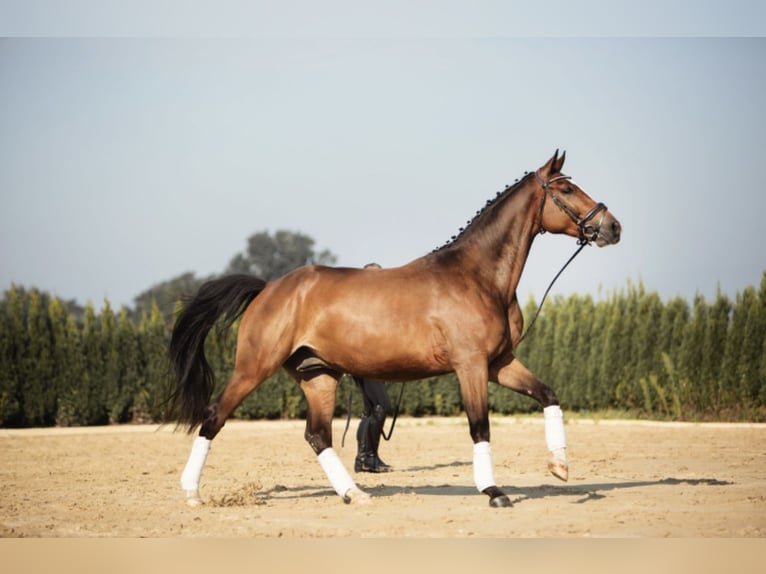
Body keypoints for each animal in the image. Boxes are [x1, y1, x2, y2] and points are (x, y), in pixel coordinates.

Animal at [170, 152, 624, 508]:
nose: (612, 227)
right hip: (254, 368)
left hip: (318, 375)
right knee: (214, 417)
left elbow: (548, 394)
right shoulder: (471, 365)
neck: (477, 276)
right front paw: (494, 491)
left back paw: (355, 494)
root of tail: (268, 288)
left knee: (318, 435)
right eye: (566, 189)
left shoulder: (499, 363)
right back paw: (192, 493)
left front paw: (559, 466)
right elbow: (480, 426)